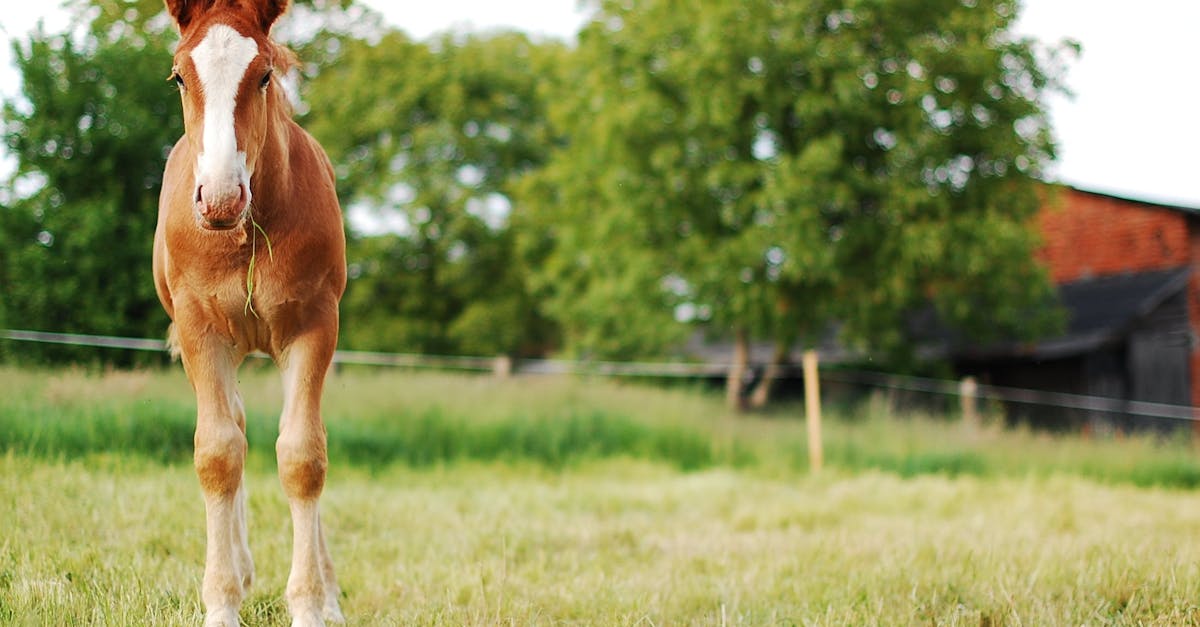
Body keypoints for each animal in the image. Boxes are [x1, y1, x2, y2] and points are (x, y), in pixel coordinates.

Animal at [152, 0, 346, 624]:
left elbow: (303, 455)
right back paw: (238, 567)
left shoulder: (314, 326)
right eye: (179, 76)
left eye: (263, 75)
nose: (219, 197)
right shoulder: (200, 329)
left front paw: (311, 604)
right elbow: (217, 453)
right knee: (232, 428)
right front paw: (221, 602)